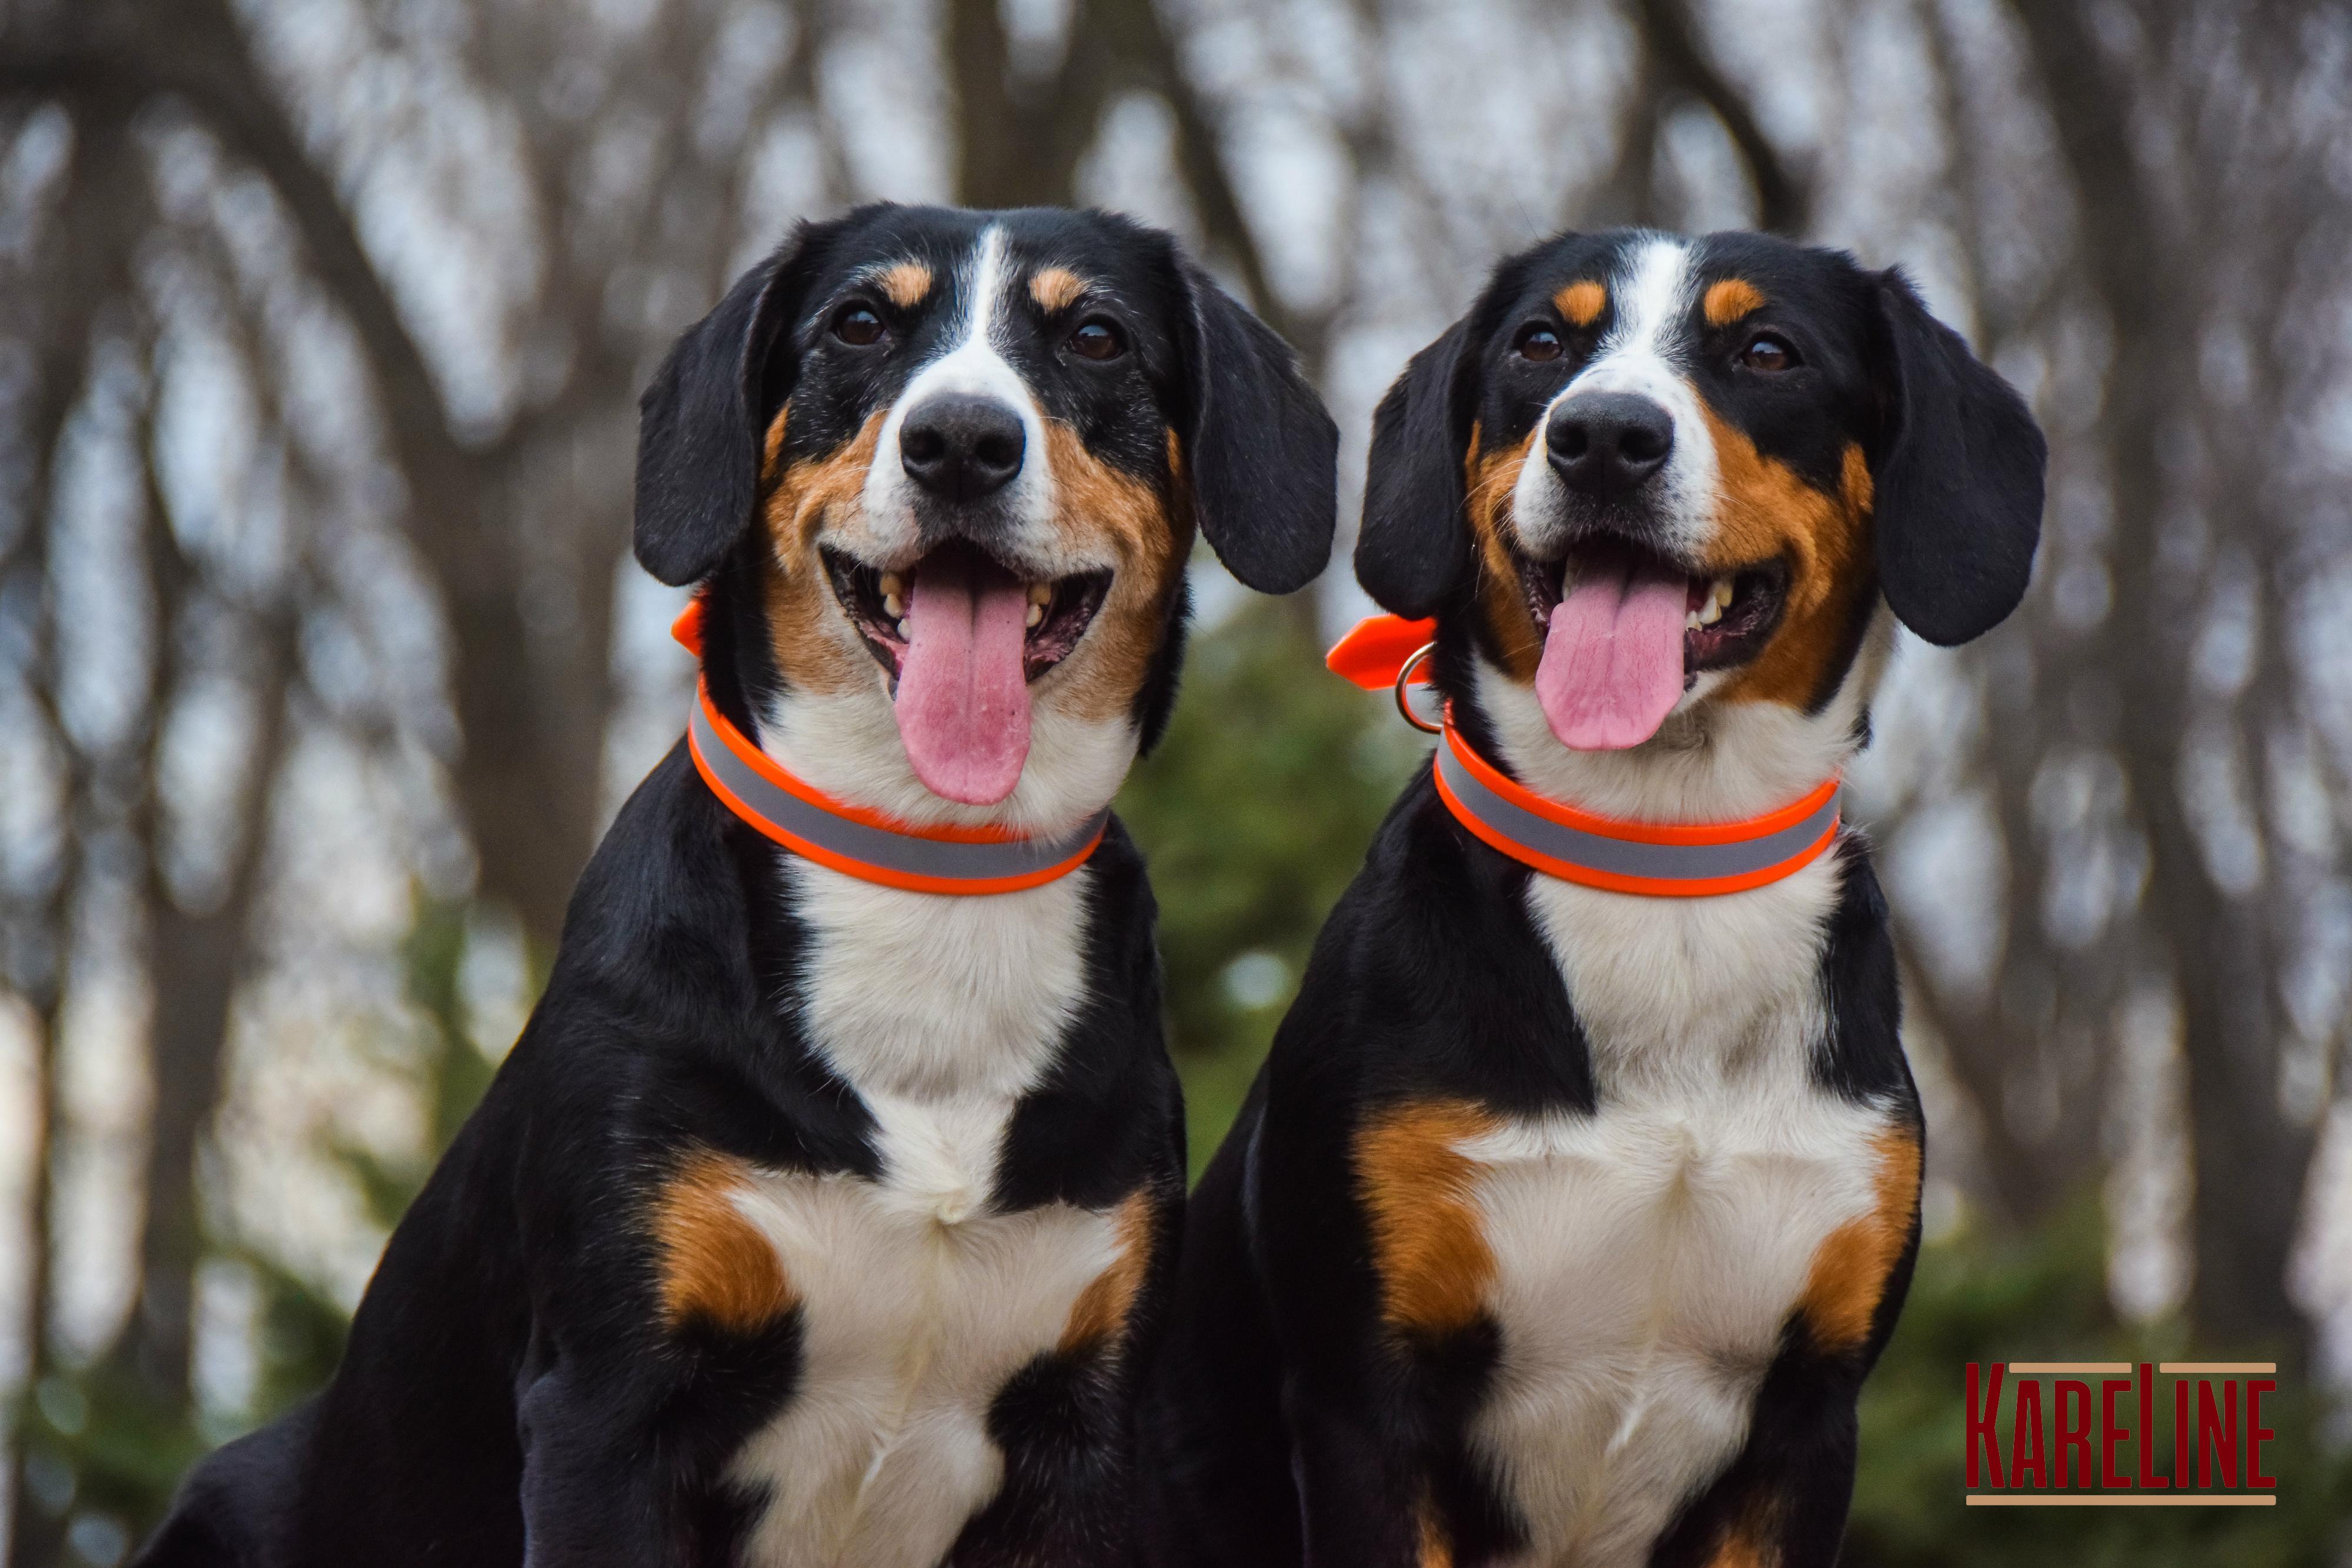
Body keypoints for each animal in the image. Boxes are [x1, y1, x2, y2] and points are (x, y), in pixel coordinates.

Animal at [138, 202, 1336, 1568]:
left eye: (1095, 336)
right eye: (859, 323)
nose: (959, 443)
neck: (926, 866)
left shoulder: (1085, 1439)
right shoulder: (609, 1408)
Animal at [1148, 230, 2051, 1568]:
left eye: (1766, 351)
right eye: (1541, 344)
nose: (1604, 435)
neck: (1654, 864)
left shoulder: (1805, 1424)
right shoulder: (1366, 1403)